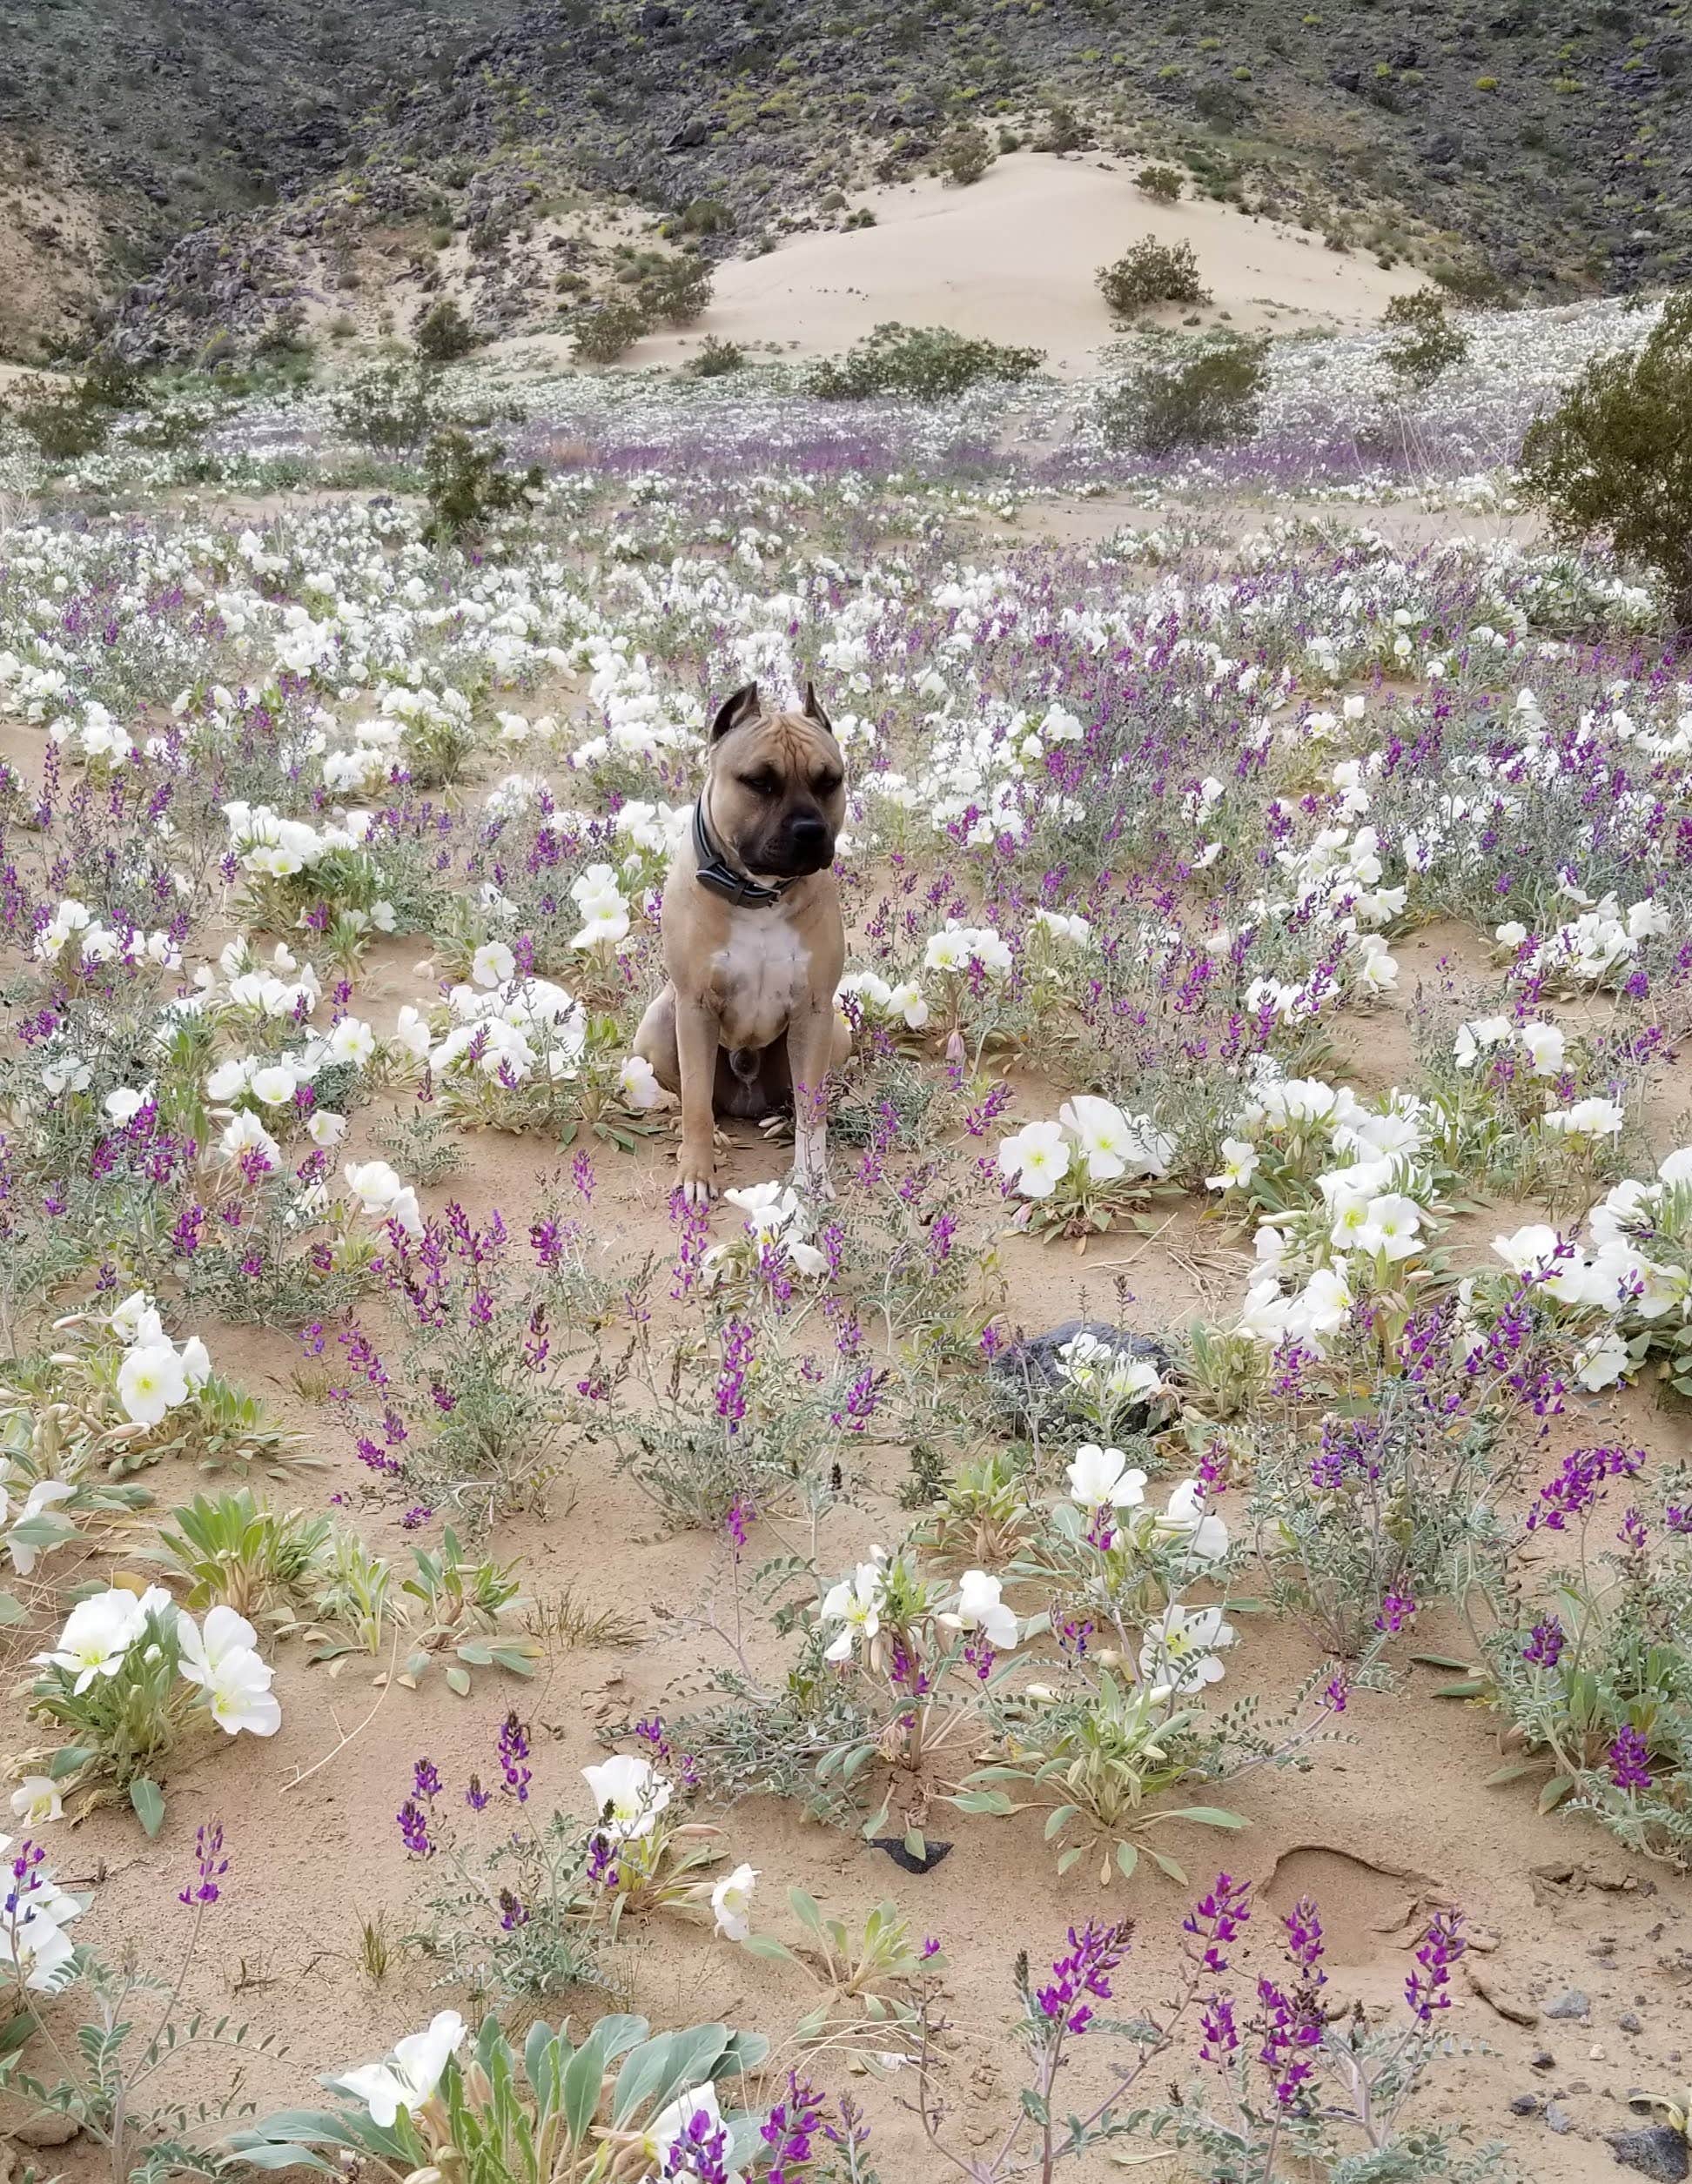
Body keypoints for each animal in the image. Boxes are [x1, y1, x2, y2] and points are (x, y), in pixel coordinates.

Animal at [633, 677, 856, 1205]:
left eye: (829, 781)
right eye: (759, 782)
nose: (809, 830)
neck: (760, 895)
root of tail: (747, 1095)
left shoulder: (814, 1010)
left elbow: (813, 1107)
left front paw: (811, 1177)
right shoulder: (695, 1007)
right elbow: (695, 1100)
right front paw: (697, 1171)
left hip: (835, 1034)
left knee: (800, 1098)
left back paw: (782, 1121)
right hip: (659, 1023)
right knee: (694, 1098)